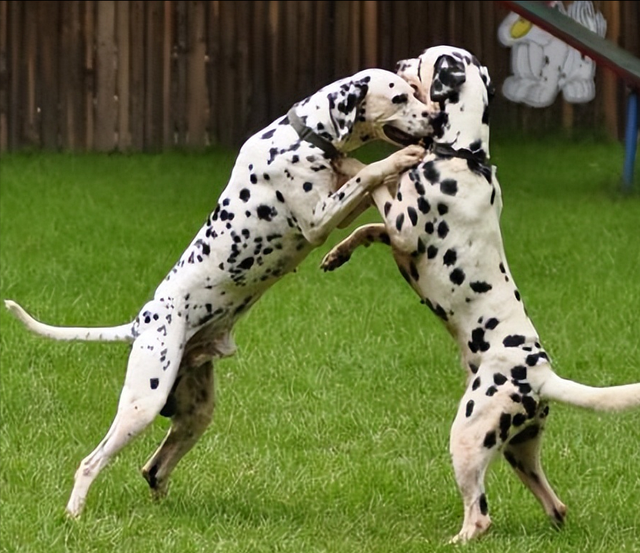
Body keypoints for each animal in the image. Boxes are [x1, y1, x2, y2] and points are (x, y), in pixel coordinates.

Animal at [3, 67, 436, 516]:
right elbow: (369, 172)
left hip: (196, 413)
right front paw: (398, 160)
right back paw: (74, 514)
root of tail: (140, 324)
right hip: (142, 405)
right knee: (91, 462)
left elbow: (361, 184)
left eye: (414, 92)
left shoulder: (339, 205)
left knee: (154, 468)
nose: (436, 118)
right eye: (401, 97)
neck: (302, 135)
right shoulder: (318, 219)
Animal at [322, 45, 640, 540]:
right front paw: (338, 252)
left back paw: (457, 540)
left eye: (424, 60)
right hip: (517, 450)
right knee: (556, 506)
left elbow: (373, 182)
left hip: (468, 437)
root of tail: (541, 375)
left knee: (480, 514)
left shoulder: (404, 225)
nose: (399, 64)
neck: (461, 155)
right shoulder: (395, 234)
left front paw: (351, 165)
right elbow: (367, 228)